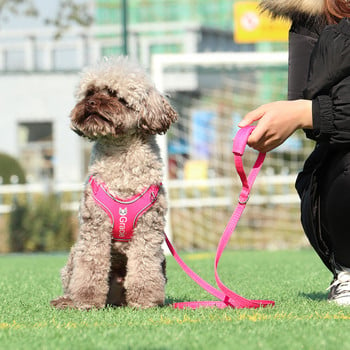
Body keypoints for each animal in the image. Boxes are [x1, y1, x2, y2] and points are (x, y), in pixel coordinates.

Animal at [50, 56, 178, 308]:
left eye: (113, 93)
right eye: (90, 91)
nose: (90, 102)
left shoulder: (148, 228)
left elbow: (144, 266)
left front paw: (145, 299)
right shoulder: (95, 227)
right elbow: (90, 266)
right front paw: (86, 300)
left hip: (160, 263)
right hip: (74, 254)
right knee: (72, 277)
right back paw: (66, 301)